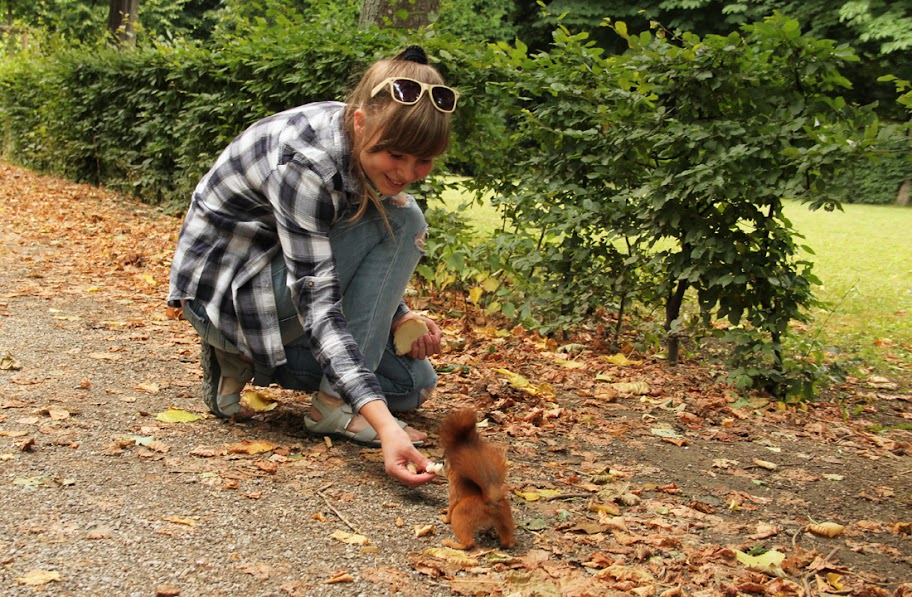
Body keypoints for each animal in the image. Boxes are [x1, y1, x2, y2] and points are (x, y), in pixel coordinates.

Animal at [440, 408, 516, 548]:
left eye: (444, 463)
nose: (440, 460)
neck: (456, 472)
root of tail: (490, 503)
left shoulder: (454, 488)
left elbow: (452, 504)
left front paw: (445, 518)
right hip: (505, 517)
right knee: (506, 538)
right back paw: (508, 541)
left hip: (461, 514)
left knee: (468, 543)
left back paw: (451, 543)